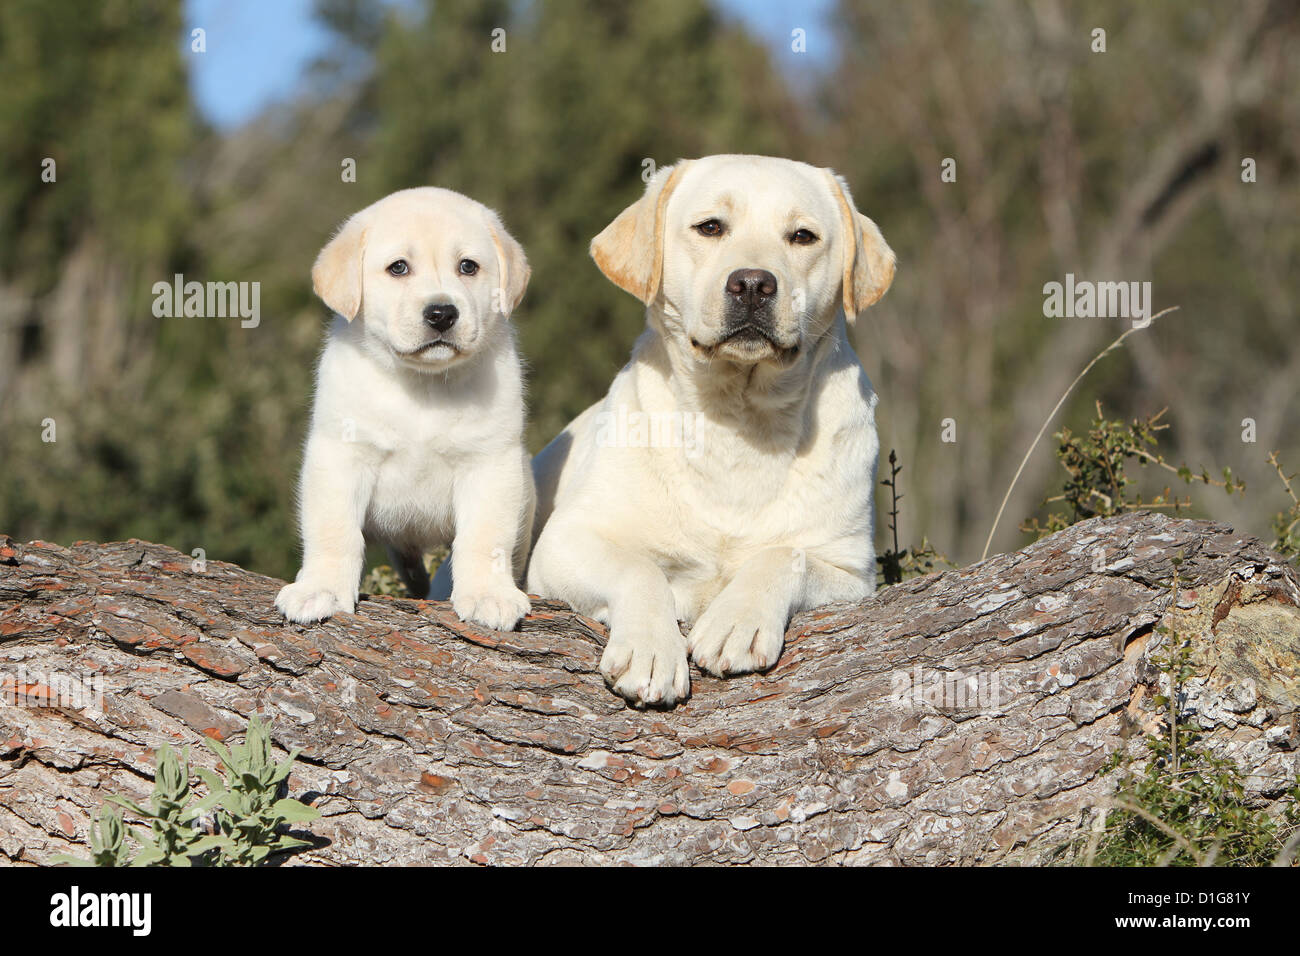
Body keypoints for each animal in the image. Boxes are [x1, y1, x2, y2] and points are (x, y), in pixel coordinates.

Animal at [276, 187, 535, 634]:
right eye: (398, 268)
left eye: (468, 266)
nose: (442, 313)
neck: (423, 384)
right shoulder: (340, 456)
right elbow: (333, 530)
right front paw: (320, 588)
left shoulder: (491, 462)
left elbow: (485, 536)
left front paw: (488, 594)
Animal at [527, 157, 894, 707]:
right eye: (711, 227)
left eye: (803, 236)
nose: (753, 285)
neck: (737, 421)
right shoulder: (565, 543)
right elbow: (640, 568)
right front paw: (650, 650)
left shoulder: (851, 568)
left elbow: (784, 556)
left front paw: (737, 621)